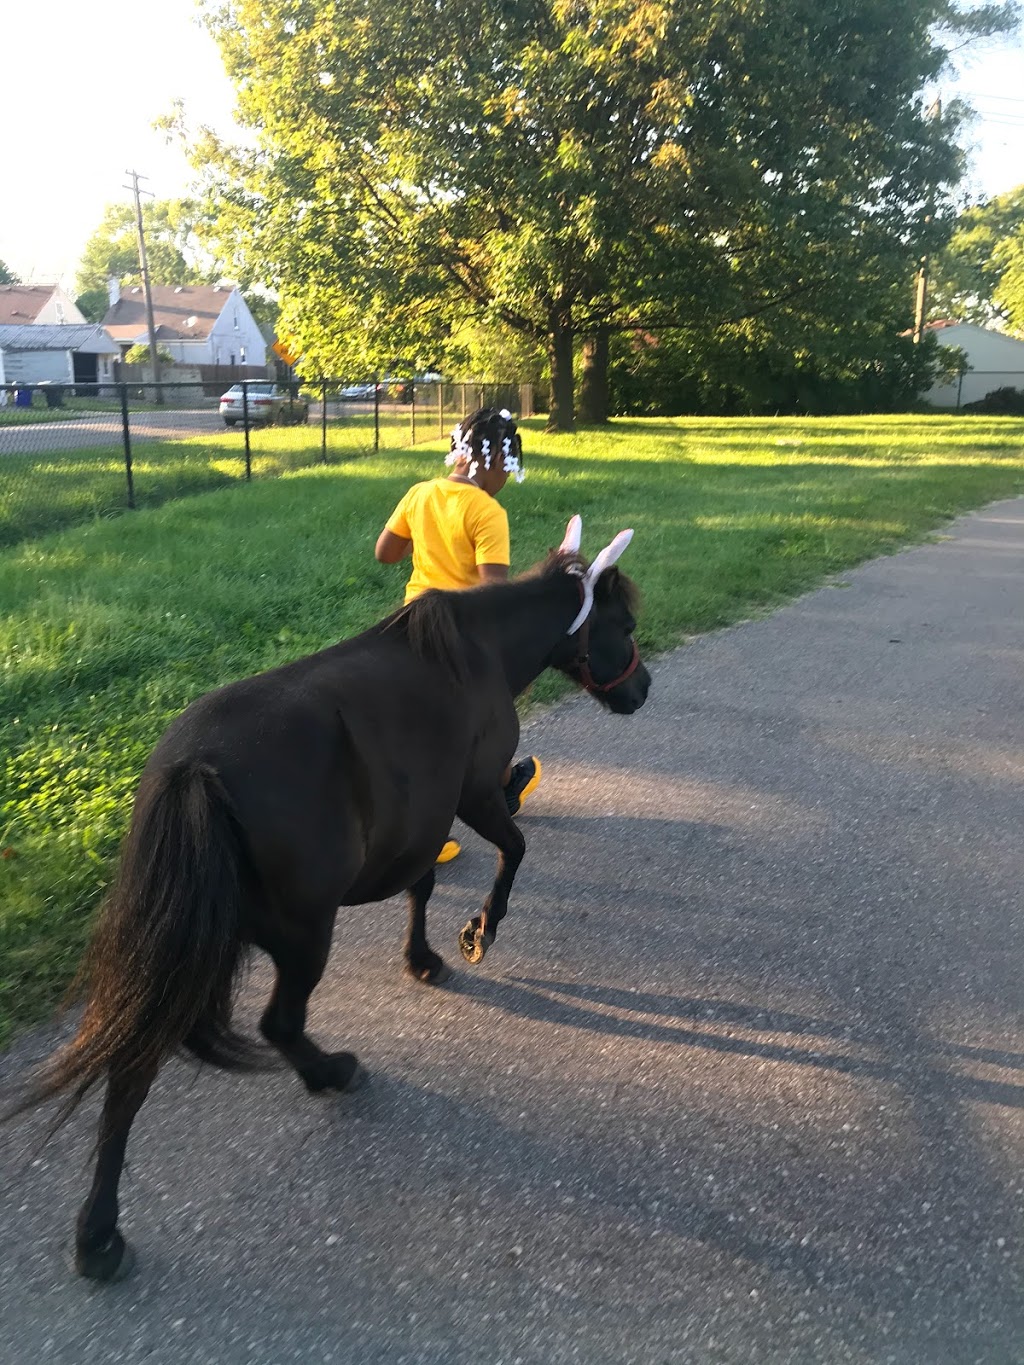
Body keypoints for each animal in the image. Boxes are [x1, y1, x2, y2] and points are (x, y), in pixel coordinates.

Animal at [10, 513, 649, 1277]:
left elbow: (423, 884)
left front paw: (423, 958)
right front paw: (479, 932)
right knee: (277, 1025)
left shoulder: (417, 823)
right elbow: (510, 850)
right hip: (301, 934)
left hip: (189, 948)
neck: (478, 653)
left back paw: (98, 1231)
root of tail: (193, 771)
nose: (642, 689)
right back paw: (331, 1072)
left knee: (134, 1061)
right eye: (624, 622)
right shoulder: (470, 793)